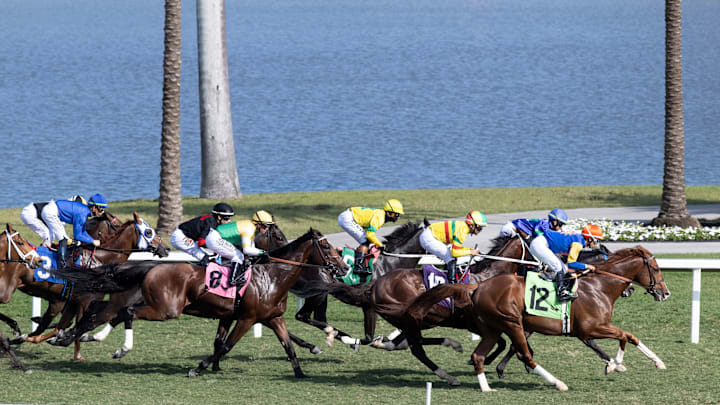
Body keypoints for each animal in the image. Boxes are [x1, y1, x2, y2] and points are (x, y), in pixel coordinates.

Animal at [49, 229, 346, 378]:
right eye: (327, 247)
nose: (342, 268)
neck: (272, 276)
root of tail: (151, 267)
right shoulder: (247, 318)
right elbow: (224, 345)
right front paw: (199, 368)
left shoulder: (272, 317)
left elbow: (288, 345)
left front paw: (301, 372)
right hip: (166, 310)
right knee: (125, 312)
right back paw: (116, 347)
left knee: (108, 313)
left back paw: (76, 337)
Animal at [405, 245, 670, 391]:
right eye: (656, 269)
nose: (665, 293)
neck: (599, 286)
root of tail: (476, 287)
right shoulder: (592, 328)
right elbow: (627, 336)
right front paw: (634, 363)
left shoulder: (588, 331)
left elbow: (626, 337)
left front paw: (620, 364)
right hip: (511, 322)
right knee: (525, 354)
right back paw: (557, 383)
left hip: (492, 327)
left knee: (479, 355)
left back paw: (486, 388)